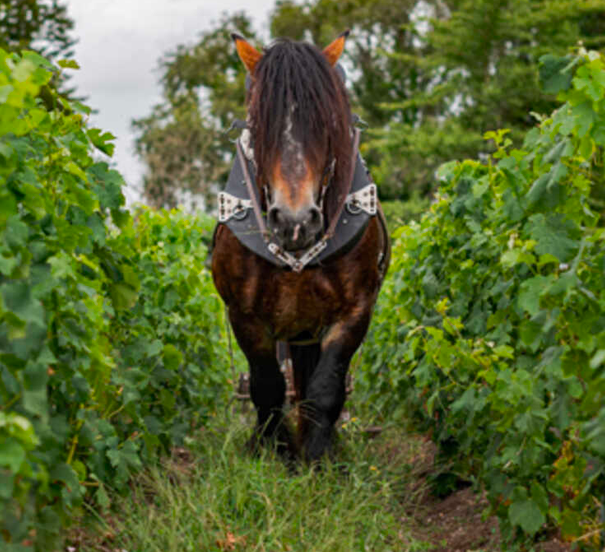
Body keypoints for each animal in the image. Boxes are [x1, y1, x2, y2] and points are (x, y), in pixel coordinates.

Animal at [211, 31, 390, 462]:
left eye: (326, 123)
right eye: (259, 123)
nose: (295, 222)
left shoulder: (355, 310)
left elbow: (324, 388)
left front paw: (319, 456)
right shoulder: (244, 314)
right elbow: (267, 385)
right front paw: (273, 450)